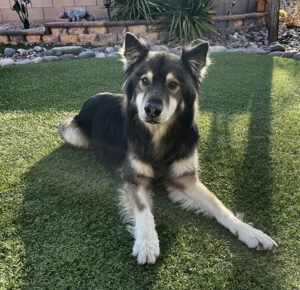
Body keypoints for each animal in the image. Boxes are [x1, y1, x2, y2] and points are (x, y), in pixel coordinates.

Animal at [59, 32, 278, 264]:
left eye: (173, 84)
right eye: (144, 81)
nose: (152, 110)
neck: (158, 136)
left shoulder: (185, 177)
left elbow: (217, 203)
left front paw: (249, 232)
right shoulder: (134, 178)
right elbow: (145, 210)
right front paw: (147, 243)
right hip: (69, 129)